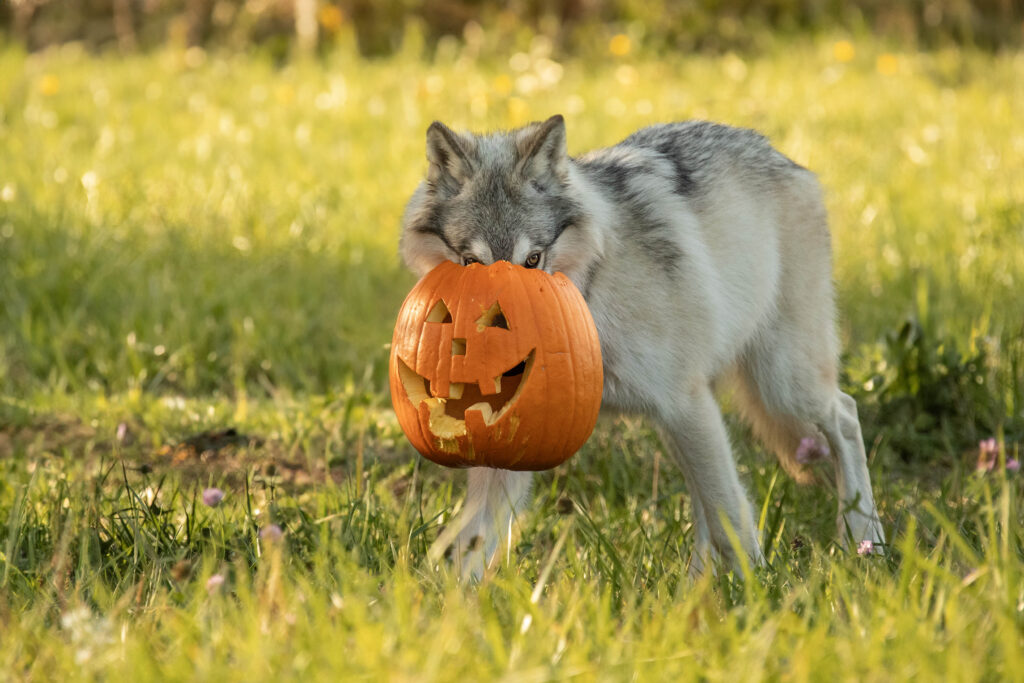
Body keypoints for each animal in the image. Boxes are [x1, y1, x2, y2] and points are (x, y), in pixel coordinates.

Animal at [400, 114, 886, 579]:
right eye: (472, 264)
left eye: (532, 261)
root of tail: (782, 158)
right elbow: (471, 546)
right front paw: (456, 608)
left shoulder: (685, 404)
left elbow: (732, 520)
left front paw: (759, 594)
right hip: (697, 421)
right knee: (706, 512)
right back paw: (694, 592)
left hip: (780, 389)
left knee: (845, 416)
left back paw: (864, 539)